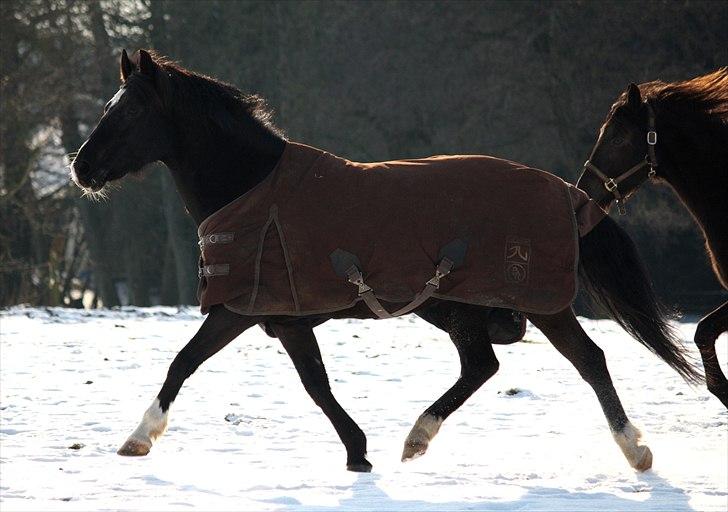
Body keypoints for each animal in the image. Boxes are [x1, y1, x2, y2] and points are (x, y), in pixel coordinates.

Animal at [69, 51, 700, 472]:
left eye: (128, 112)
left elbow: (190, 363)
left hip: (532, 303)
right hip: (456, 307)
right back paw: (419, 437)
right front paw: (359, 451)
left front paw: (139, 437)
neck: (254, 188)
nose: (80, 167)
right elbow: (310, 380)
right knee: (485, 365)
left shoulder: (246, 309)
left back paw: (635, 450)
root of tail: (569, 194)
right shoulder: (281, 317)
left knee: (585, 359)